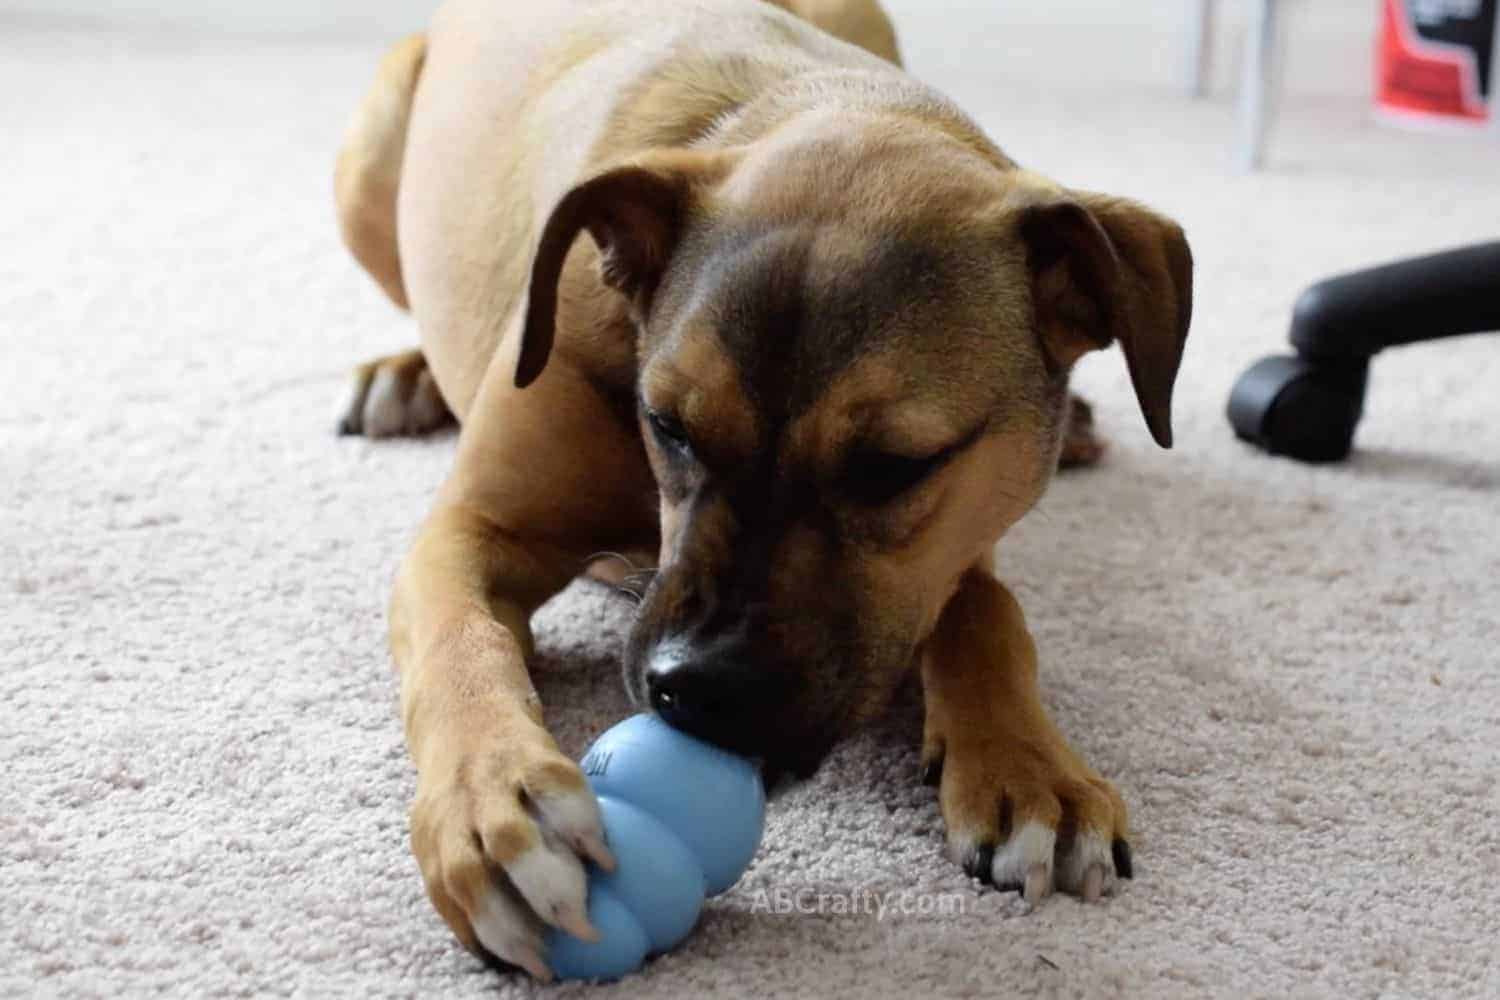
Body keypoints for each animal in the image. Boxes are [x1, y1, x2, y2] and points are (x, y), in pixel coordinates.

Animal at [334, 0, 1188, 977]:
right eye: (666, 422)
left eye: (893, 466)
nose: (693, 687)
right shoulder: (474, 530)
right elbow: (459, 643)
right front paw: (496, 811)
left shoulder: (958, 546)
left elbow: (989, 615)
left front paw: (1031, 770)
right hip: (367, 168)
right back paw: (403, 374)